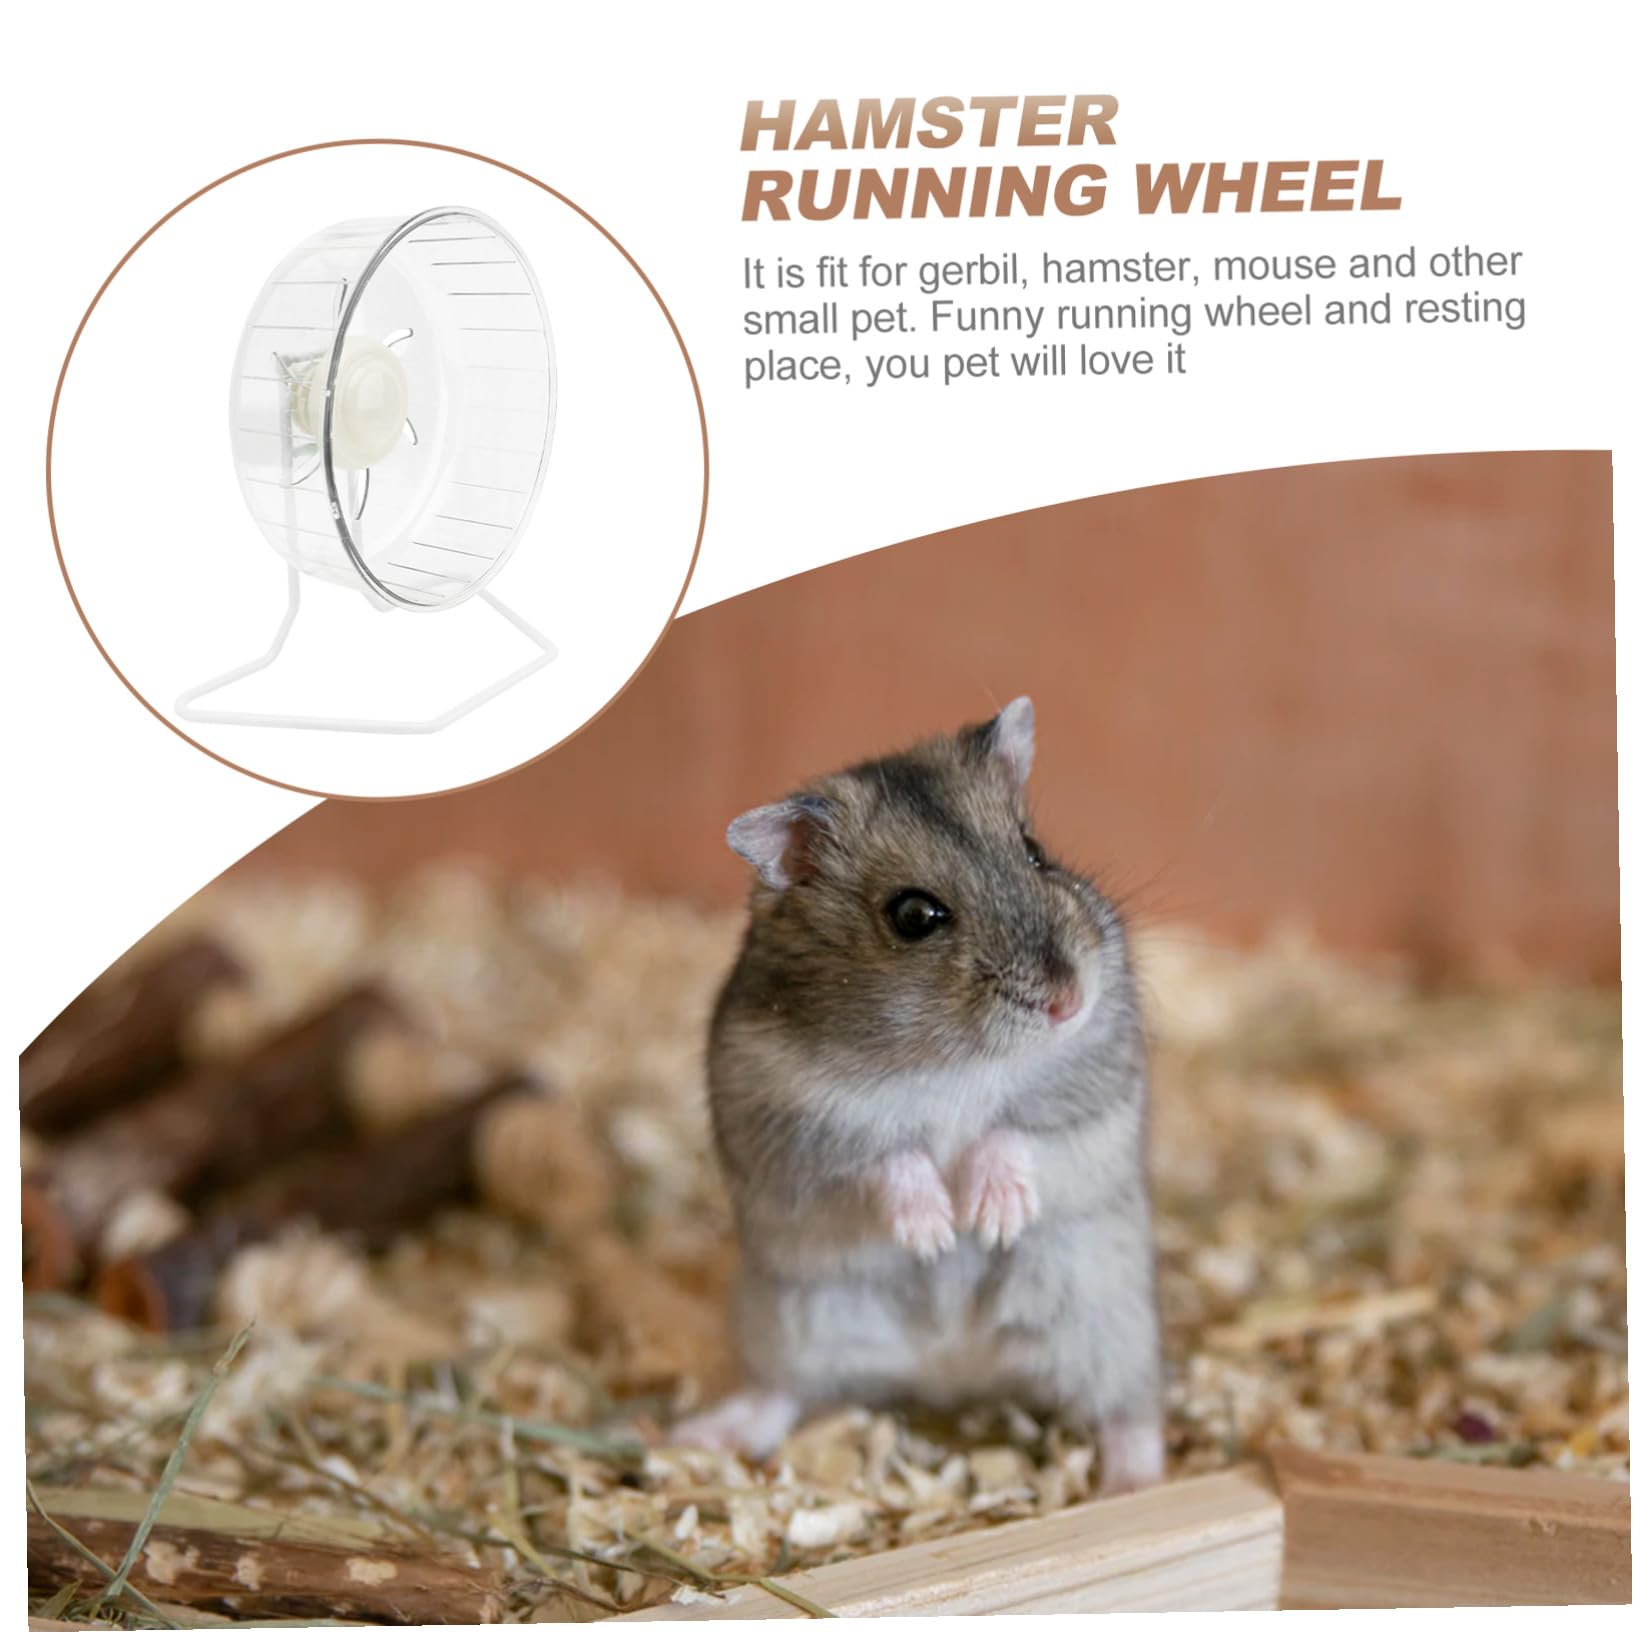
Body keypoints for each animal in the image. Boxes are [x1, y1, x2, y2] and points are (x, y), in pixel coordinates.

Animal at [675, 697, 1163, 1494]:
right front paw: (936, 1232)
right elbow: (886, 1159)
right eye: (912, 916)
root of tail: (952, 1371)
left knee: (1131, 1411)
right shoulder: (793, 1128)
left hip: (1108, 1320)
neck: (951, 1058)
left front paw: (990, 1220)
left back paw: (1133, 1484)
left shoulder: (1092, 1092)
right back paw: (695, 1436)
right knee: (779, 1393)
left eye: (1034, 851)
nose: (1068, 1001)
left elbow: (1014, 1133)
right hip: (789, 1322)